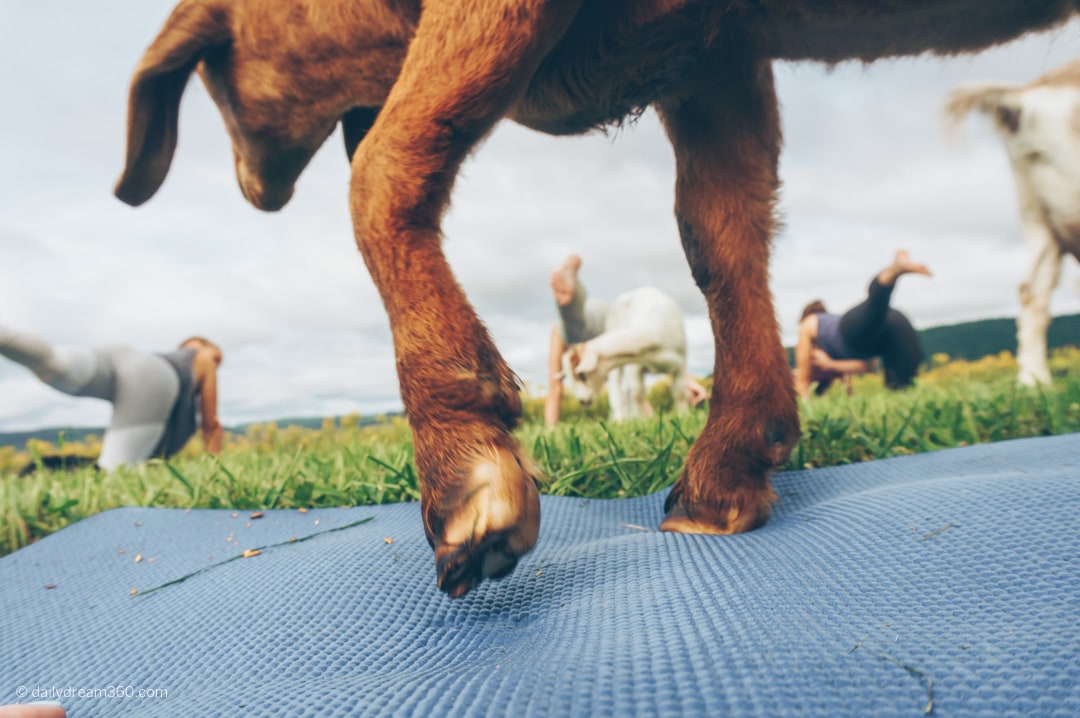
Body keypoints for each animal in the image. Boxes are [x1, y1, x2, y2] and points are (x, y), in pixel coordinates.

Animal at [561, 287, 686, 421]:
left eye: (582, 375)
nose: (582, 401)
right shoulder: (634, 366)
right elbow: (637, 395)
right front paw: (641, 420)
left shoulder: (682, 362)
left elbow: (680, 393)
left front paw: (683, 415)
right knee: (618, 392)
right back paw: (620, 419)